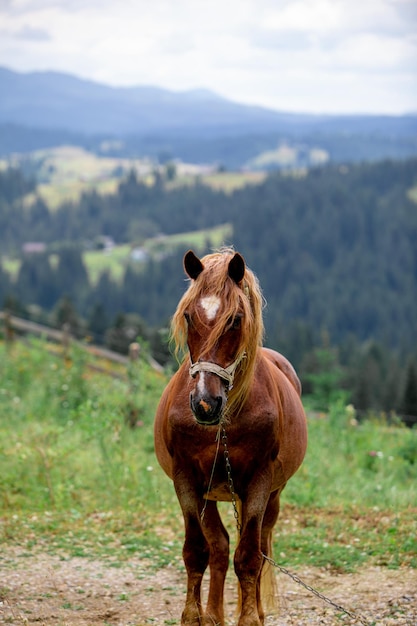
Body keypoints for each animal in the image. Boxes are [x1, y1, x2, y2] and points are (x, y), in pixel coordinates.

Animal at [153, 249, 306, 624]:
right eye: (189, 316)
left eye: (235, 319)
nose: (205, 403)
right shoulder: (186, 480)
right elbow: (197, 551)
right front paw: (194, 616)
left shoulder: (259, 483)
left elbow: (249, 557)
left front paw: (250, 617)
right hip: (211, 493)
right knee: (220, 547)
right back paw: (213, 612)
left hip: (274, 494)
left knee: (260, 545)